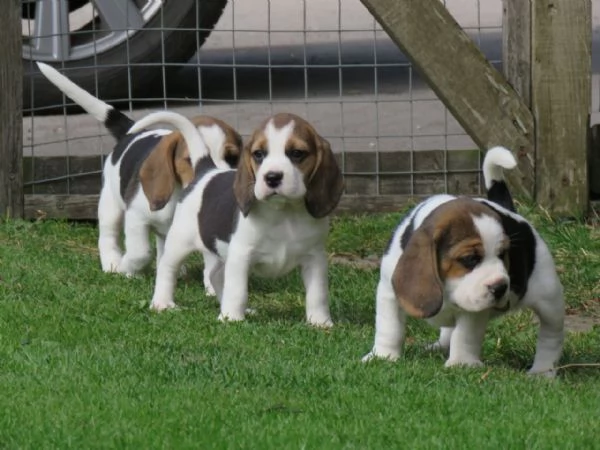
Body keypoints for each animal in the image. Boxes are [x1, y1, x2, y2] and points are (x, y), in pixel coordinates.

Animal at [35, 61, 240, 280]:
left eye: (233, 158)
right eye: (191, 159)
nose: (221, 184)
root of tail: (131, 133)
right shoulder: (136, 217)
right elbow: (140, 252)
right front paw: (127, 267)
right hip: (110, 204)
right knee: (108, 236)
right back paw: (112, 262)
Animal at [126, 110, 344, 326]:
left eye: (297, 153)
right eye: (258, 154)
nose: (272, 177)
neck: (283, 212)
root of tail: (206, 170)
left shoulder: (315, 258)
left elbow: (318, 294)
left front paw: (321, 323)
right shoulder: (241, 255)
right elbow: (238, 291)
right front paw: (232, 318)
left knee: (215, 276)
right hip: (179, 243)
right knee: (167, 268)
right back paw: (162, 303)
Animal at [364, 148, 564, 376]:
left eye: (503, 254)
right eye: (470, 259)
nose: (501, 287)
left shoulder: (474, 307)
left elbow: (465, 336)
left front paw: (461, 364)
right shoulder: (389, 291)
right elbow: (389, 328)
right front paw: (383, 356)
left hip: (550, 300)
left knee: (551, 336)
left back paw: (542, 372)